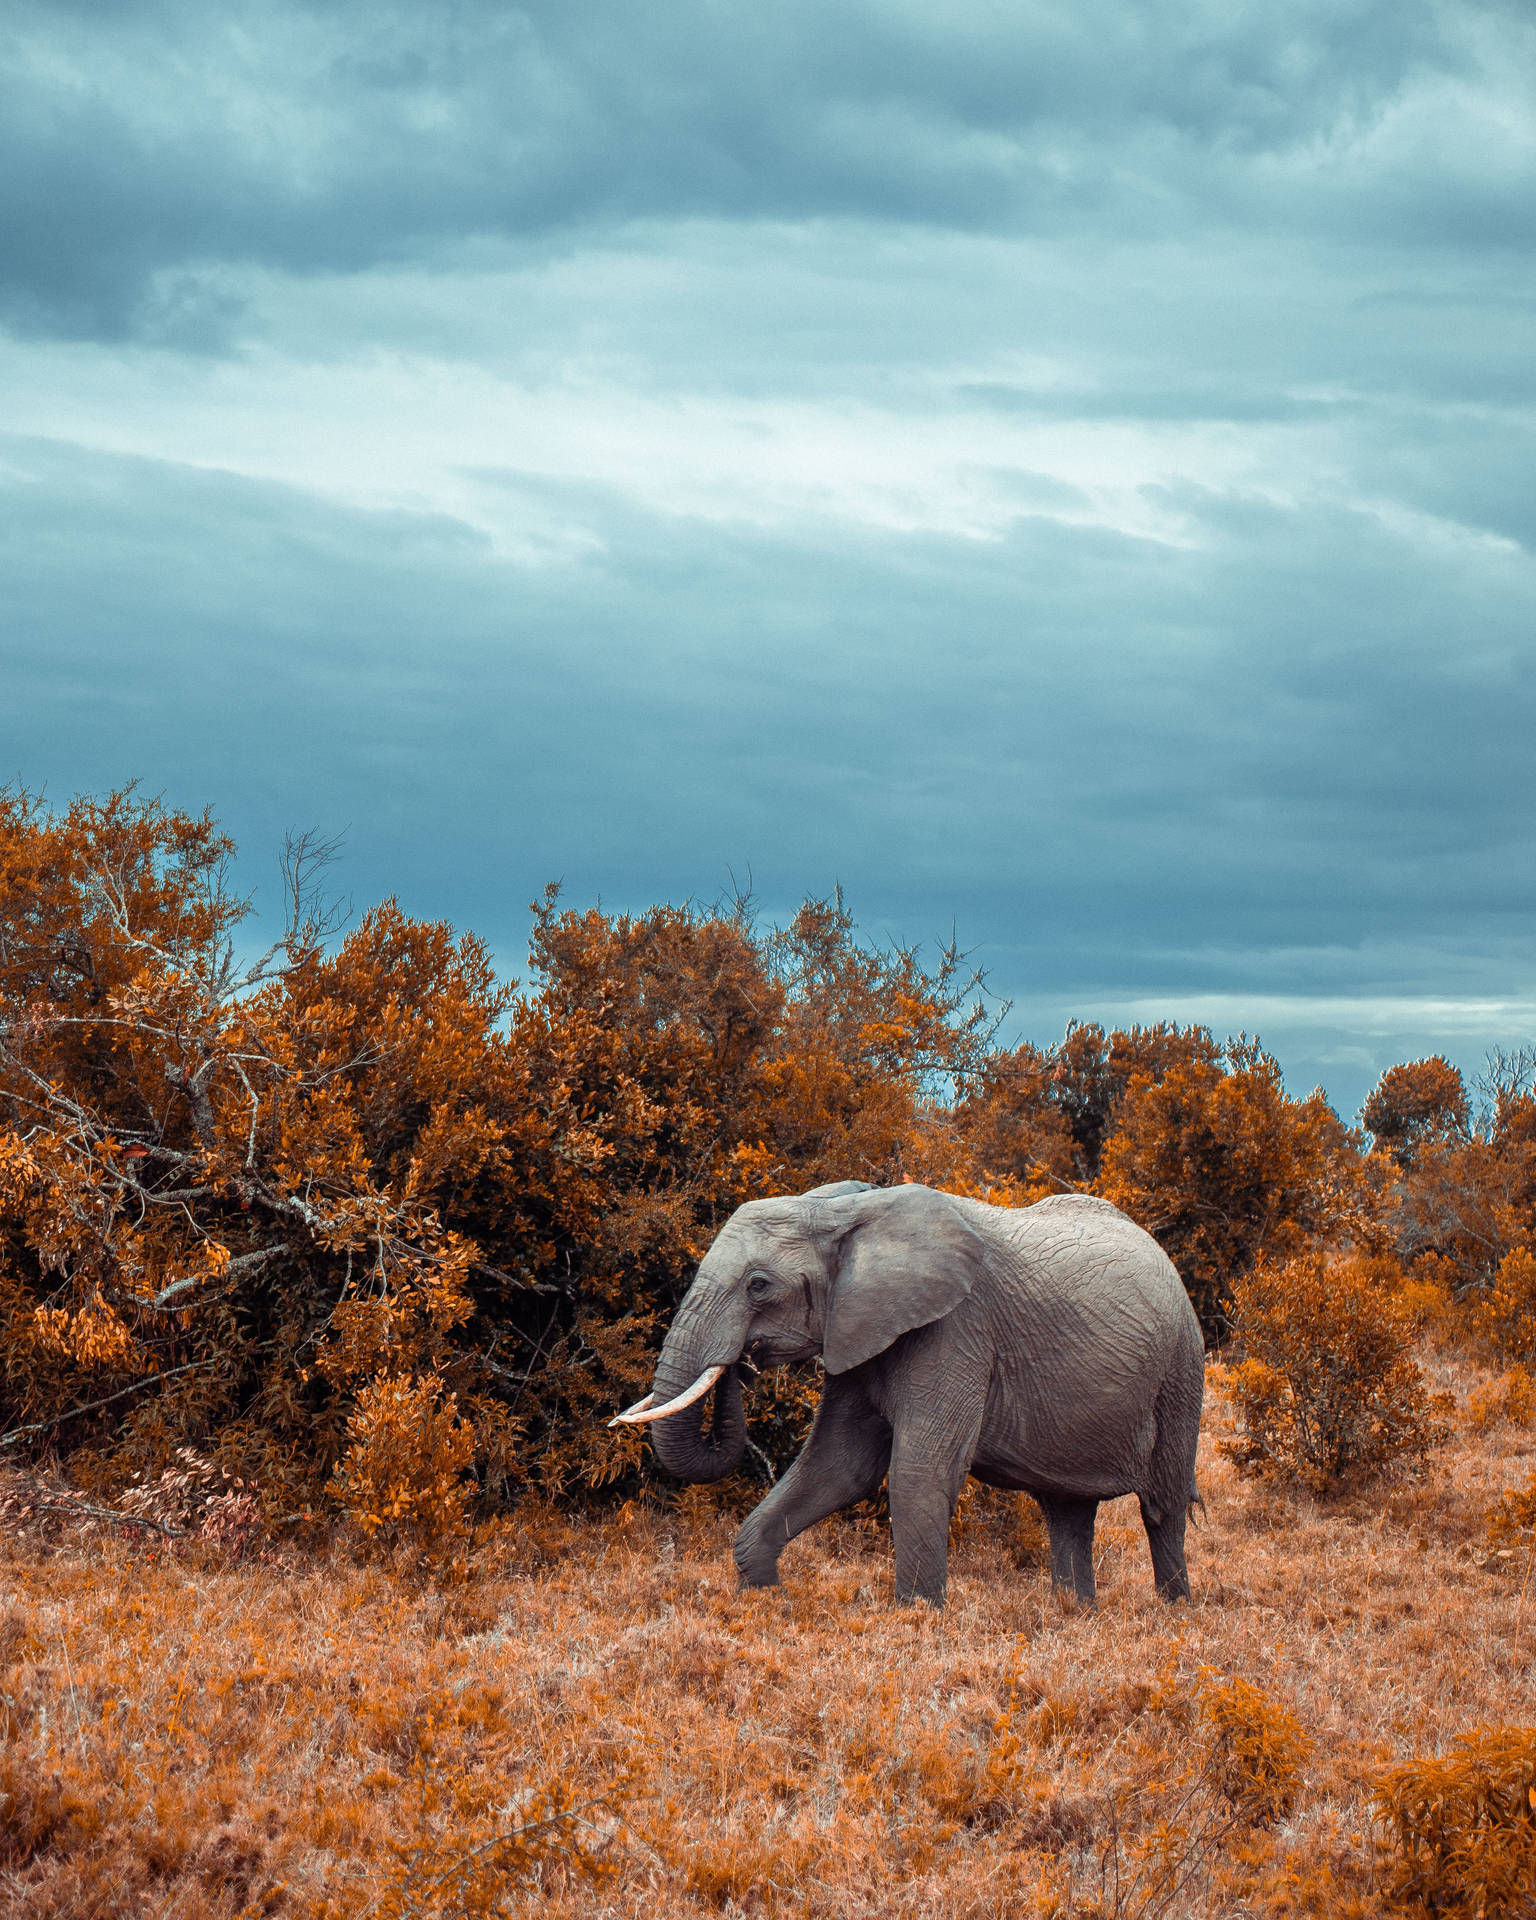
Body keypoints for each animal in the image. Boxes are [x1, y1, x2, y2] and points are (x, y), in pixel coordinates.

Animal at [610, 1183, 1204, 1607]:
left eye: (758, 1285)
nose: (740, 1362)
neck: (846, 1211)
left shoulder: (956, 1329)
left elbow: (919, 1469)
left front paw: (917, 1616)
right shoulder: (858, 1330)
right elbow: (839, 1466)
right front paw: (765, 1598)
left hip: (1182, 1366)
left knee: (1163, 1505)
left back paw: (1173, 1612)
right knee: (1067, 1511)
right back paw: (1074, 1612)